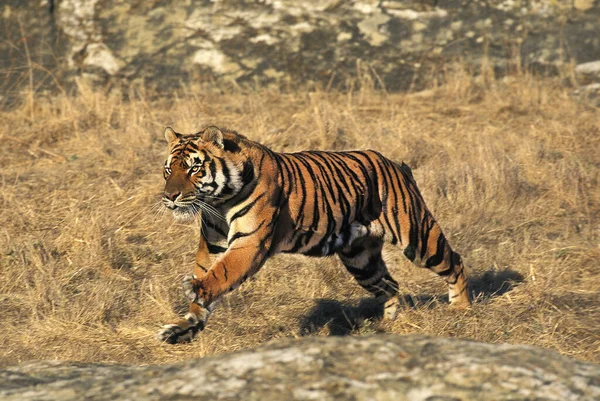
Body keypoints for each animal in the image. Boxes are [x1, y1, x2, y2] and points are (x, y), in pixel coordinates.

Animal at [157, 126, 472, 344]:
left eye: (194, 168)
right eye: (168, 170)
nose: (170, 196)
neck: (219, 201)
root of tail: (394, 164)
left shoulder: (249, 243)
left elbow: (220, 275)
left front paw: (194, 290)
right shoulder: (213, 245)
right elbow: (208, 278)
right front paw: (183, 329)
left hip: (417, 236)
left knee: (454, 261)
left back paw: (461, 310)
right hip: (361, 260)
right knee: (391, 285)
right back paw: (388, 324)